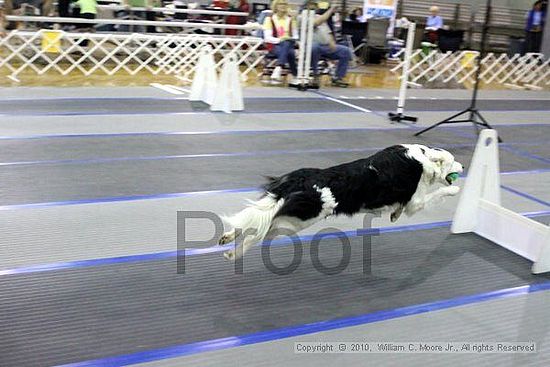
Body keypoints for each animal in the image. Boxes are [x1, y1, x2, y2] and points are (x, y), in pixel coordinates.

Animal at [220, 144, 466, 262]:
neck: (422, 156)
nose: (463, 167)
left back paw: (228, 239)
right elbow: (441, 192)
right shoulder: (417, 202)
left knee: (254, 221)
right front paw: (455, 189)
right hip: (297, 221)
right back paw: (234, 254)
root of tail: (301, 180)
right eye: (454, 161)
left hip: (283, 210)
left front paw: (395, 214)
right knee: (257, 232)